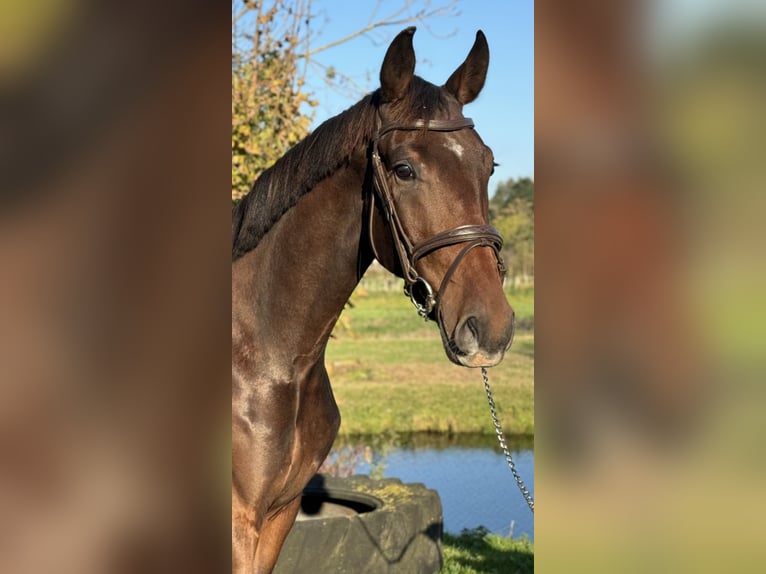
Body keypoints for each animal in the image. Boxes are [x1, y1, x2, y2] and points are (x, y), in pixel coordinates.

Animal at [230, 28, 516, 574]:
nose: (491, 327)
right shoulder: (241, 520)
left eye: (489, 165)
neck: (270, 360)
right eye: (404, 169)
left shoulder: (279, 513)